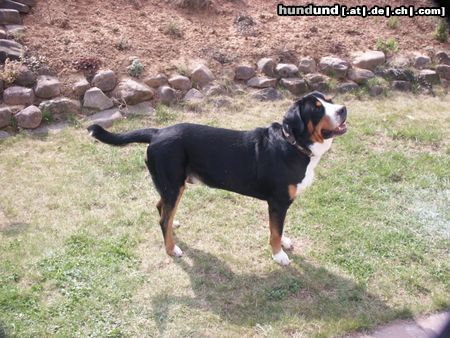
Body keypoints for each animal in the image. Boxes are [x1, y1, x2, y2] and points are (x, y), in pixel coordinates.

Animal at [88, 91, 348, 266]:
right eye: (317, 108)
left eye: (329, 100)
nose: (344, 109)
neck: (293, 144)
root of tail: (158, 132)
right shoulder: (278, 202)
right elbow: (275, 230)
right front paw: (279, 254)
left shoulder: (280, 205)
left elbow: (279, 228)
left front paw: (284, 243)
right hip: (173, 184)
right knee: (163, 219)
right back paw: (172, 249)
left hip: (172, 185)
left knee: (161, 208)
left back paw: (174, 224)